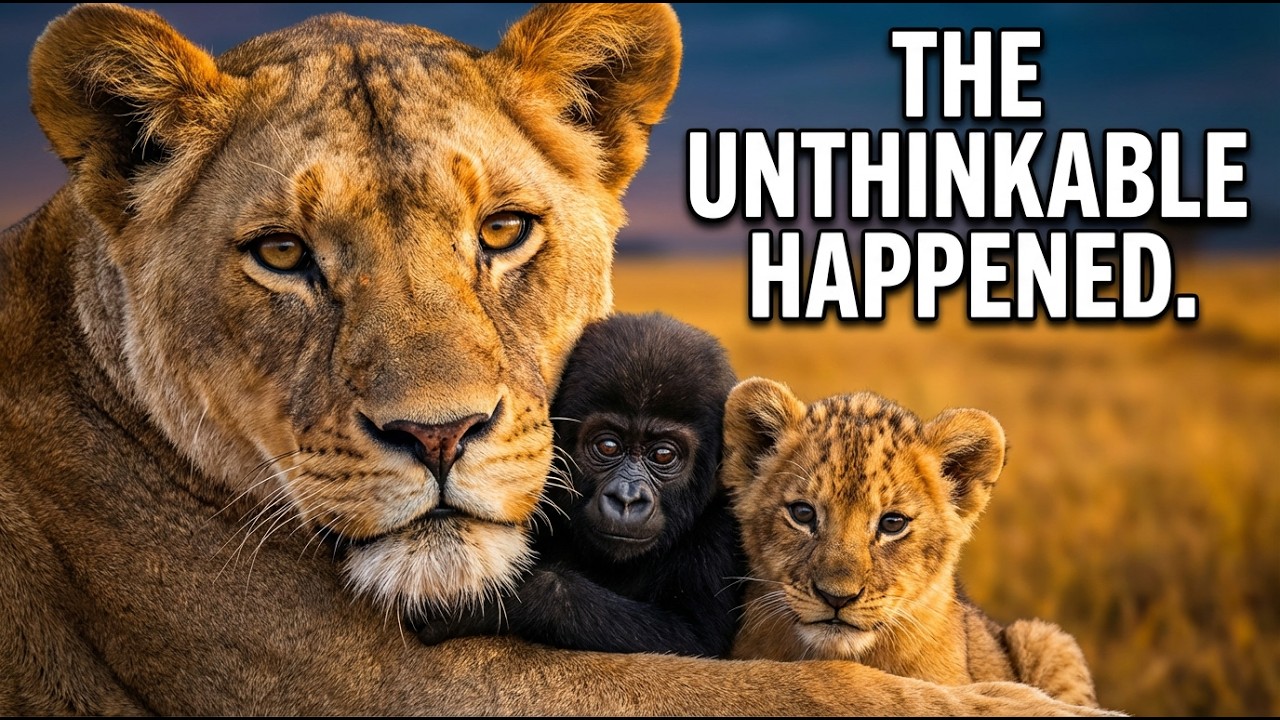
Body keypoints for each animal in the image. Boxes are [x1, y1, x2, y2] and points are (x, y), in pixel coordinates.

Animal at [415, 312, 744, 658]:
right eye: (608, 447)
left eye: (663, 455)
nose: (626, 498)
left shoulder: (721, 525)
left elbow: (692, 638)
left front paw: (502, 595)